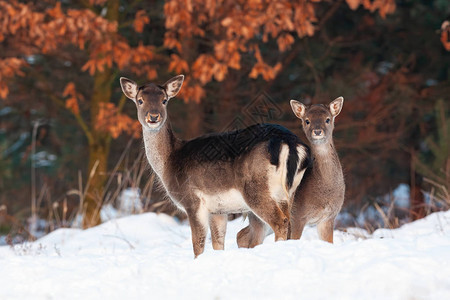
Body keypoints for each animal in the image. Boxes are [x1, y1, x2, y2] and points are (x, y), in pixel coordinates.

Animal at [118, 75, 310, 258]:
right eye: (140, 100)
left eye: (164, 100)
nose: (153, 117)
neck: (169, 161)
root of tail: (290, 143)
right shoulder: (218, 210)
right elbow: (218, 242)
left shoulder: (193, 201)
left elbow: (198, 244)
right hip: (289, 192)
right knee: (290, 222)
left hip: (256, 190)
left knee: (280, 222)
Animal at [237, 97, 346, 247]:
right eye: (307, 120)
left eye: (328, 119)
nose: (317, 131)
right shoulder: (297, 215)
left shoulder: (329, 217)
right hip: (259, 211)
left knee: (242, 234)